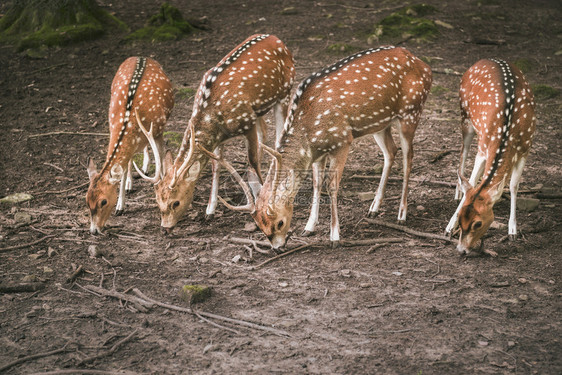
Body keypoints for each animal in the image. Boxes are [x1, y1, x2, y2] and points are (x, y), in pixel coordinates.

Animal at [85, 56, 173, 235]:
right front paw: (120, 205)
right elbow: (124, 168)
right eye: (86, 200)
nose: (94, 231)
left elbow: (161, 158)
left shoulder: (158, 131)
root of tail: (142, 56)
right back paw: (131, 182)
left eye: (103, 201)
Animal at [141, 33, 294, 232]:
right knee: (265, 133)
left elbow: (252, 160)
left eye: (175, 202)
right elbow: (216, 165)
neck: (212, 115)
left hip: (285, 92)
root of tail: (277, 39)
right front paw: (209, 211)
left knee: (278, 137)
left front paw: (263, 200)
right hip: (260, 109)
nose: (165, 227)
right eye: (158, 201)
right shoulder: (222, 136)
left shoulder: (247, 122)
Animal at [199, 46, 430, 250]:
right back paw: (373, 208)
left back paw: (401, 215)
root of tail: (424, 66)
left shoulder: (343, 140)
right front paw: (309, 227)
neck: (309, 127)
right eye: (260, 226)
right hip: (380, 124)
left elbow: (332, 185)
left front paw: (335, 237)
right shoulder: (318, 151)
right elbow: (317, 183)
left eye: (279, 222)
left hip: (411, 112)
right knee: (391, 151)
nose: (277, 248)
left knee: (409, 157)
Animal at [444, 58, 536, 258]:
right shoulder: (484, 146)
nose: (461, 250)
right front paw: (449, 226)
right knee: (463, 153)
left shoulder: (526, 148)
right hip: (465, 116)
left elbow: (513, 185)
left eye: (478, 223)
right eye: (461, 218)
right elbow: (473, 181)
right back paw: (457, 192)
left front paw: (512, 231)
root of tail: (483, 60)